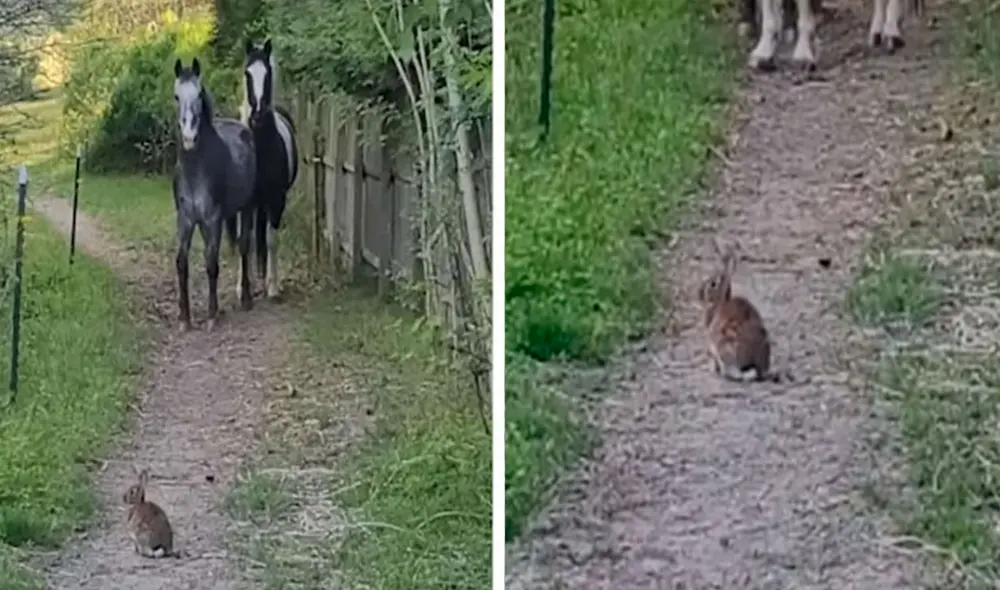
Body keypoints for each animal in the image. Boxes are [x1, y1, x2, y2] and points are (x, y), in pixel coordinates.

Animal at [172, 57, 257, 331]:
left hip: (247, 208)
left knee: (244, 246)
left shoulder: (213, 219)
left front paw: (211, 315)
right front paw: (185, 318)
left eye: (199, 94)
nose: (189, 137)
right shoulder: (186, 219)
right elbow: (182, 262)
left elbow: (211, 263)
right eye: (176, 96)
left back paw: (246, 298)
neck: (197, 170)